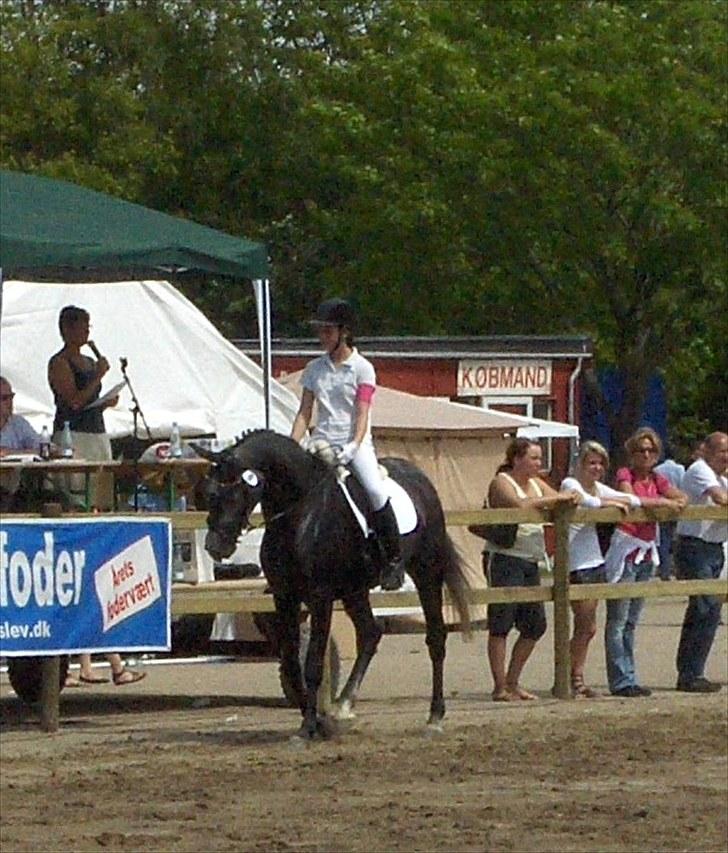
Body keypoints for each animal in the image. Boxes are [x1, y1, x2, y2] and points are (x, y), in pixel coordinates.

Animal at [198, 430, 472, 736]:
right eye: (209, 493)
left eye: (236, 491)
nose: (215, 547)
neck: (299, 514)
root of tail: (419, 477)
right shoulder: (284, 596)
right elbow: (291, 663)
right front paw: (317, 719)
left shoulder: (320, 598)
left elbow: (313, 663)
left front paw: (308, 727)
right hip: (355, 590)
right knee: (370, 633)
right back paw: (342, 707)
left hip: (427, 572)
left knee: (435, 638)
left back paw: (435, 716)